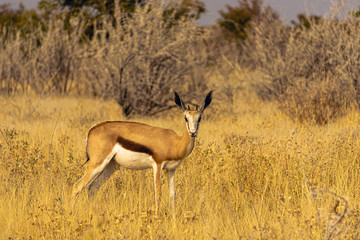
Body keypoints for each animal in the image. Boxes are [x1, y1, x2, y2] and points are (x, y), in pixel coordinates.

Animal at [70, 91, 212, 215]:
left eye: (199, 118)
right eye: (186, 118)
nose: (193, 133)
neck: (175, 142)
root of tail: (92, 129)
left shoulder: (171, 169)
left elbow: (172, 194)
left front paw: (173, 219)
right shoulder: (158, 165)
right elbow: (158, 193)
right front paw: (157, 218)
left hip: (111, 166)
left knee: (92, 188)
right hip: (98, 163)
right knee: (77, 186)